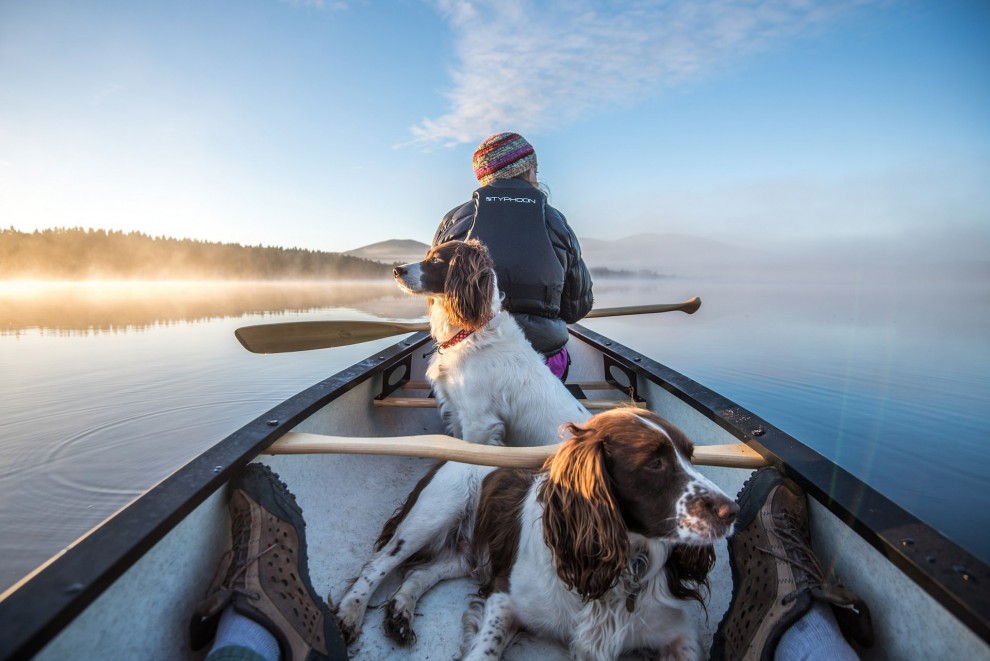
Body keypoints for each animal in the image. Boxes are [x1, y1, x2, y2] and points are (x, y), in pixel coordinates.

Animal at [338, 410, 740, 656]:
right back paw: (350, 613)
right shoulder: (505, 599)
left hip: (468, 555)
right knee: (380, 564)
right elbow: (486, 648)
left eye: (691, 456)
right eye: (654, 462)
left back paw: (400, 613)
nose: (732, 511)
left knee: (421, 573)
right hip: (433, 514)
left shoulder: (679, 631)